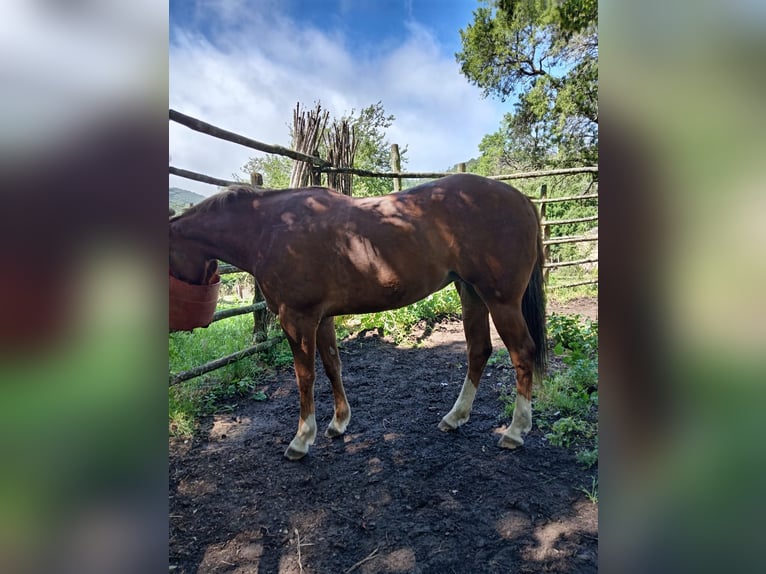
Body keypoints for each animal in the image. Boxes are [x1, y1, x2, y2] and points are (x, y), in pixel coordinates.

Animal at [169, 173, 547, 460]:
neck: (270, 228)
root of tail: (521, 199)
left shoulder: (298, 319)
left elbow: (305, 377)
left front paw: (302, 439)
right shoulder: (322, 319)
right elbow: (332, 366)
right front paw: (339, 424)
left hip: (501, 301)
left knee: (521, 353)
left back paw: (515, 431)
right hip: (471, 293)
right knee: (479, 350)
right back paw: (455, 417)